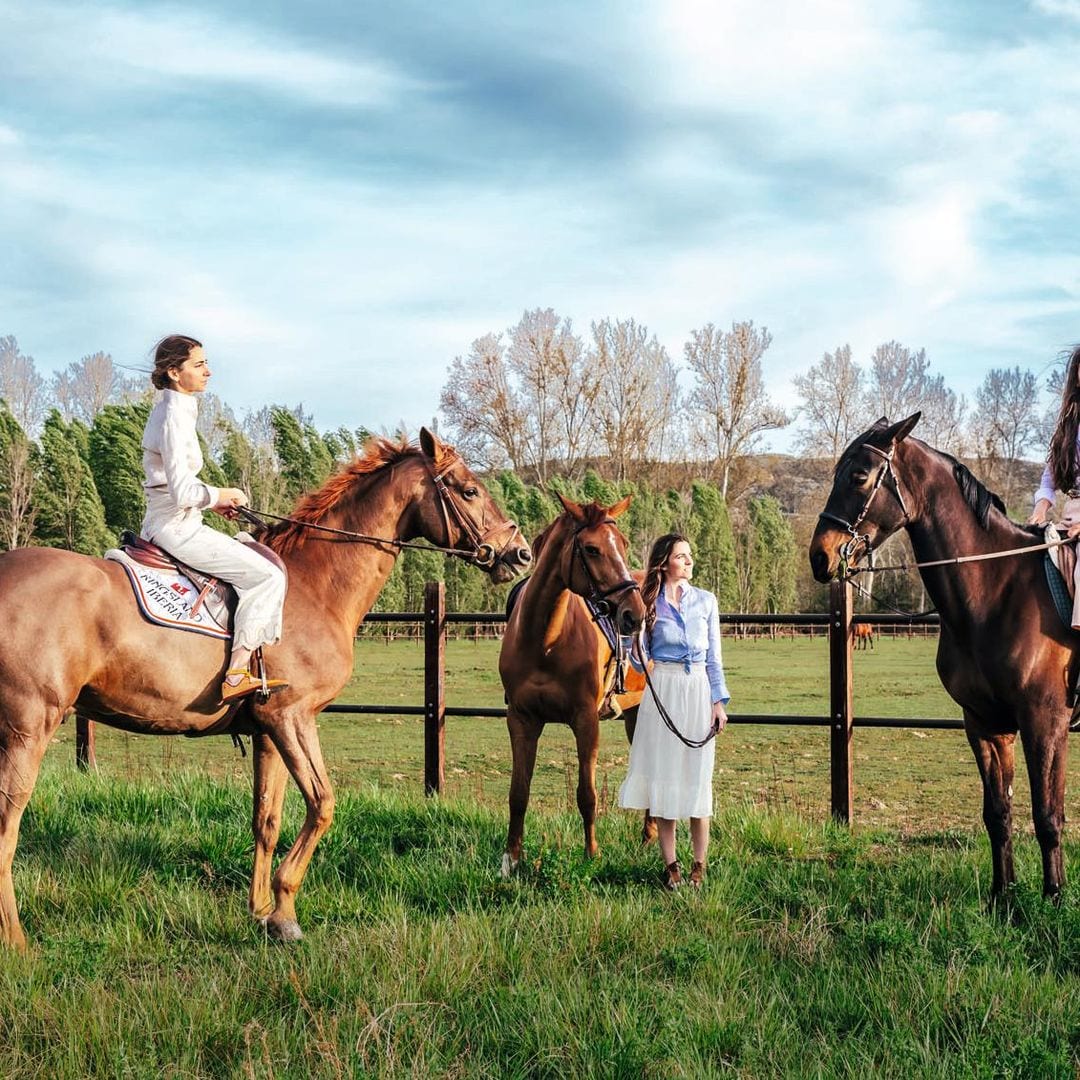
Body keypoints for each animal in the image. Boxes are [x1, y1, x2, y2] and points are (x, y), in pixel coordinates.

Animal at [0, 425, 527, 950]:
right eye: (469, 490)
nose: (519, 552)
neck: (314, 584)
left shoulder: (267, 732)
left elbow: (266, 820)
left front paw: (260, 912)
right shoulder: (292, 717)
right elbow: (322, 804)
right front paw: (285, 912)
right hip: (29, 728)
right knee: (8, 822)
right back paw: (17, 940)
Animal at [498, 494, 648, 872]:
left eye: (623, 544)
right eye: (592, 549)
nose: (634, 614)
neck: (545, 640)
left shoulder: (586, 720)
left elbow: (587, 794)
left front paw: (591, 853)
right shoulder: (521, 720)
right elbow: (518, 793)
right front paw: (511, 859)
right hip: (635, 715)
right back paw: (647, 838)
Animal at [812, 412, 1075, 902]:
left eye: (859, 475)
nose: (820, 556)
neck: (997, 591)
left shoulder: (1046, 723)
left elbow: (1048, 816)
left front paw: (1053, 898)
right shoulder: (984, 724)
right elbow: (998, 813)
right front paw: (1002, 897)